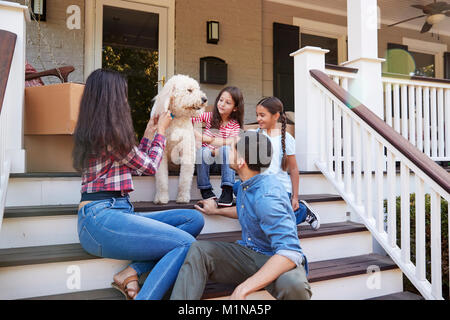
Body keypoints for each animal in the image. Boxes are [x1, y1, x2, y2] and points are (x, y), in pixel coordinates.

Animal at [151, 74, 207, 204]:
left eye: (197, 88)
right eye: (189, 90)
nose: (204, 99)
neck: (177, 118)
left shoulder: (187, 151)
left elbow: (185, 180)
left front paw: (183, 197)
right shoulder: (162, 153)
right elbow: (161, 179)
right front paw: (161, 198)